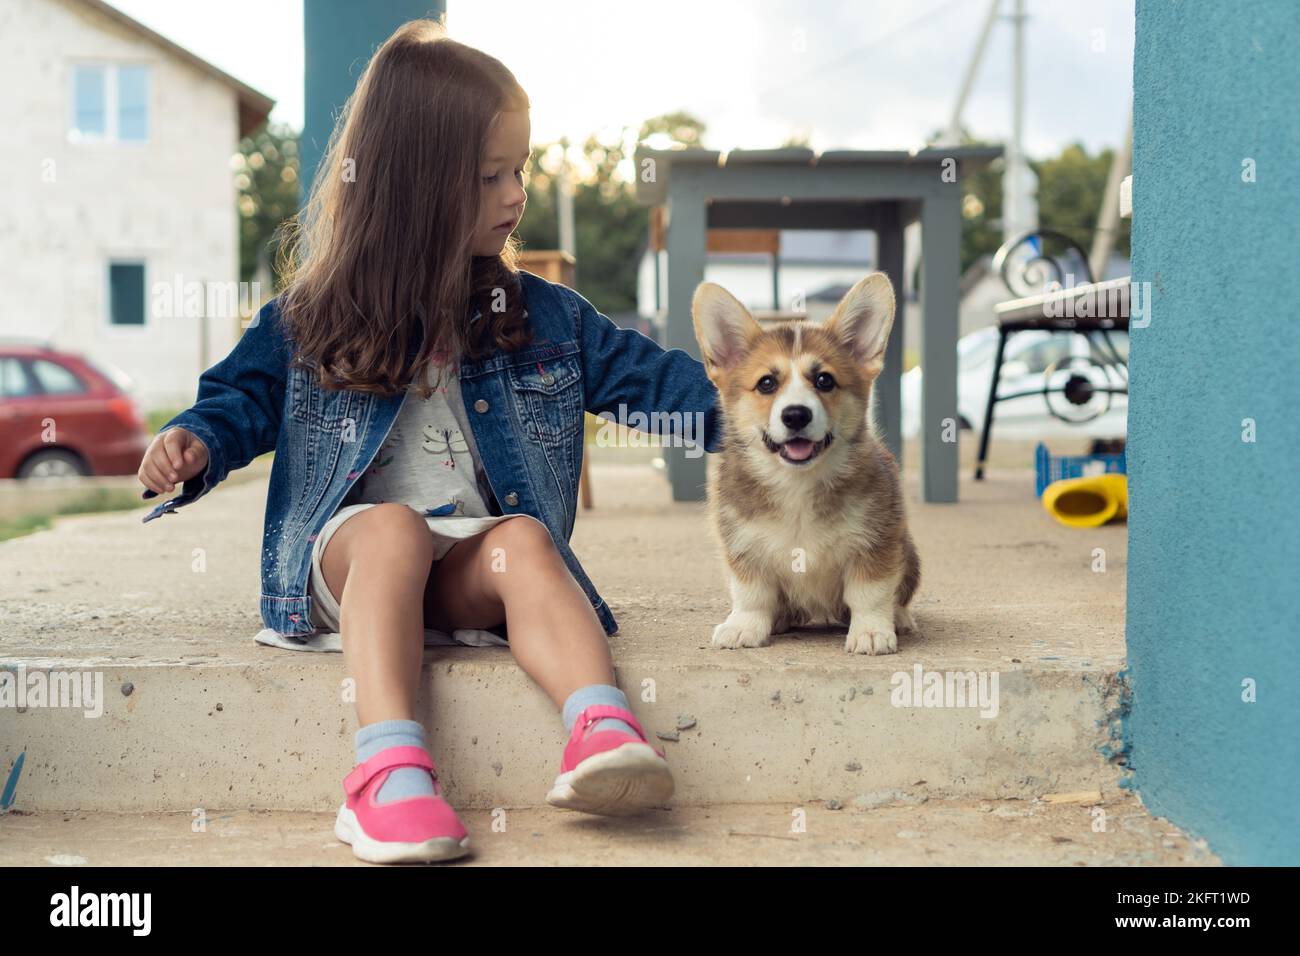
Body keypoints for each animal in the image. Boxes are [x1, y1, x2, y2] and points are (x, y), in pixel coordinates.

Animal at [691, 273, 925, 655]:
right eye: (766, 383)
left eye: (824, 380)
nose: (796, 415)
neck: (796, 482)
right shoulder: (743, 546)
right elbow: (751, 594)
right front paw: (744, 627)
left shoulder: (877, 542)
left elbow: (870, 593)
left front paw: (872, 631)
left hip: (910, 553)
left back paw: (900, 618)